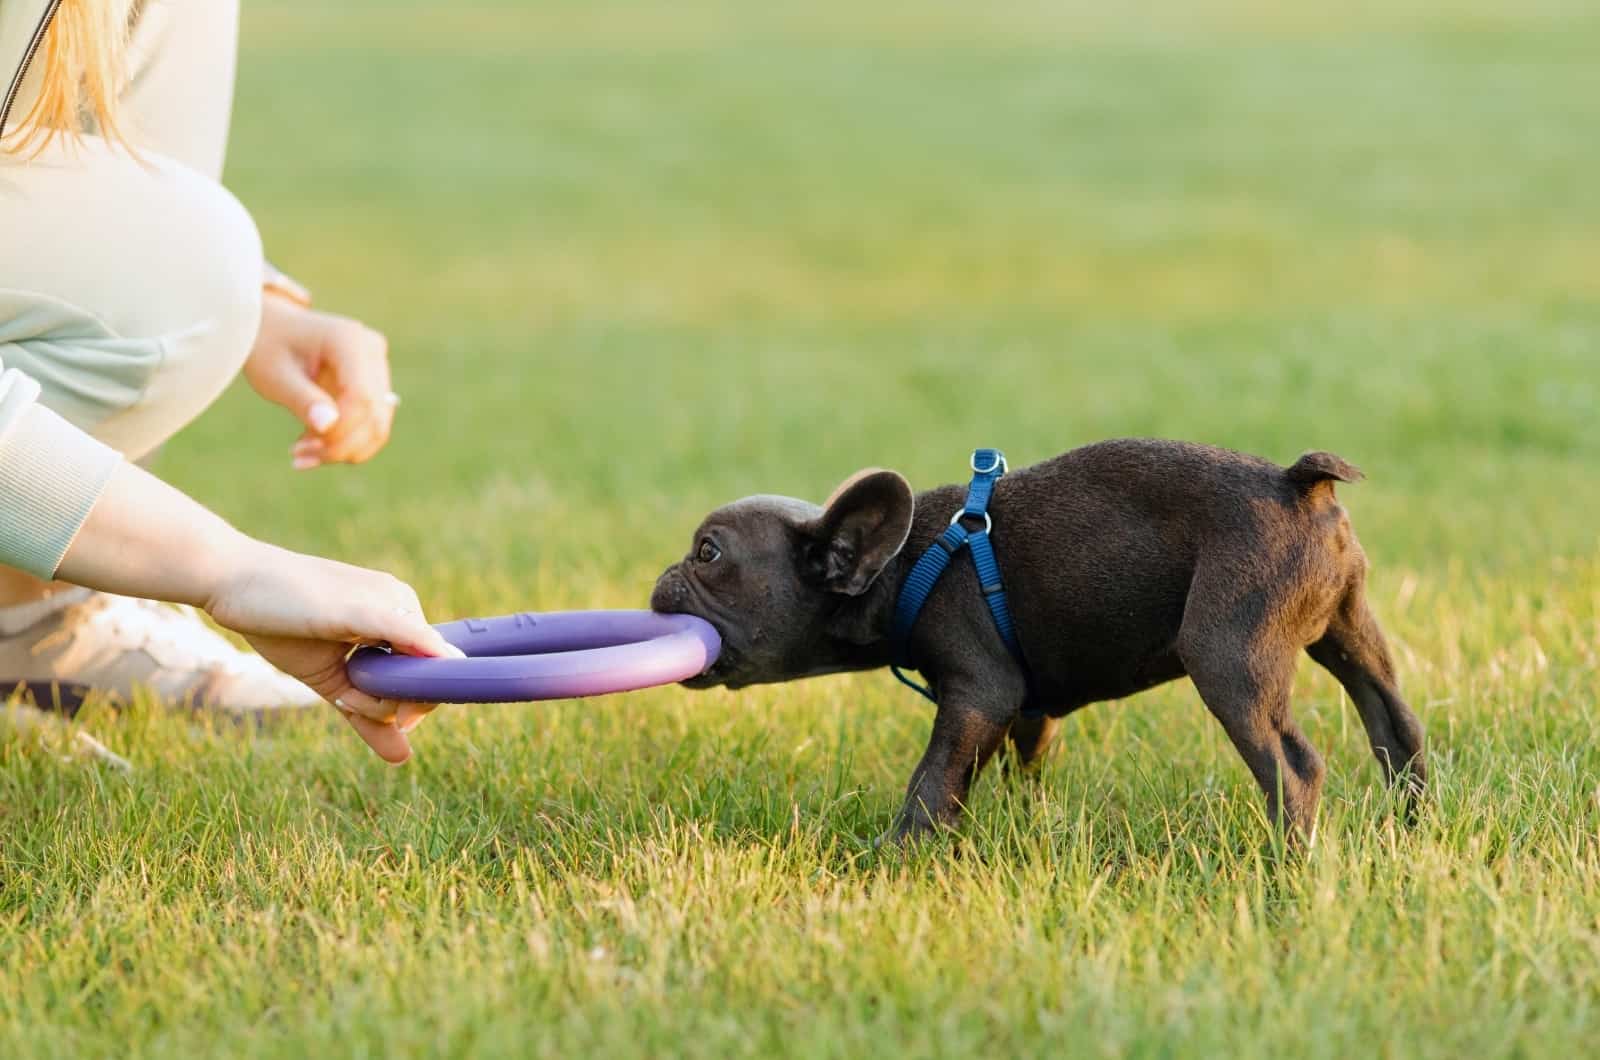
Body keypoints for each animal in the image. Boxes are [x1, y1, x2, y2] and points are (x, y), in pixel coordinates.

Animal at [649, 435, 1427, 845]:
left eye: (708, 553)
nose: (659, 585)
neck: (904, 563)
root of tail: (1300, 485)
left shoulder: (978, 693)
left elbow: (932, 777)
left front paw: (899, 850)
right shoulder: (1025, 706)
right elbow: (1016, 763)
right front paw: (1023, 821)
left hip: (1231, 656)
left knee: (1292, 766)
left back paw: (1285, 863)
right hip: (1347, 627)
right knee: (1396, 727)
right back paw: (1412, 826)